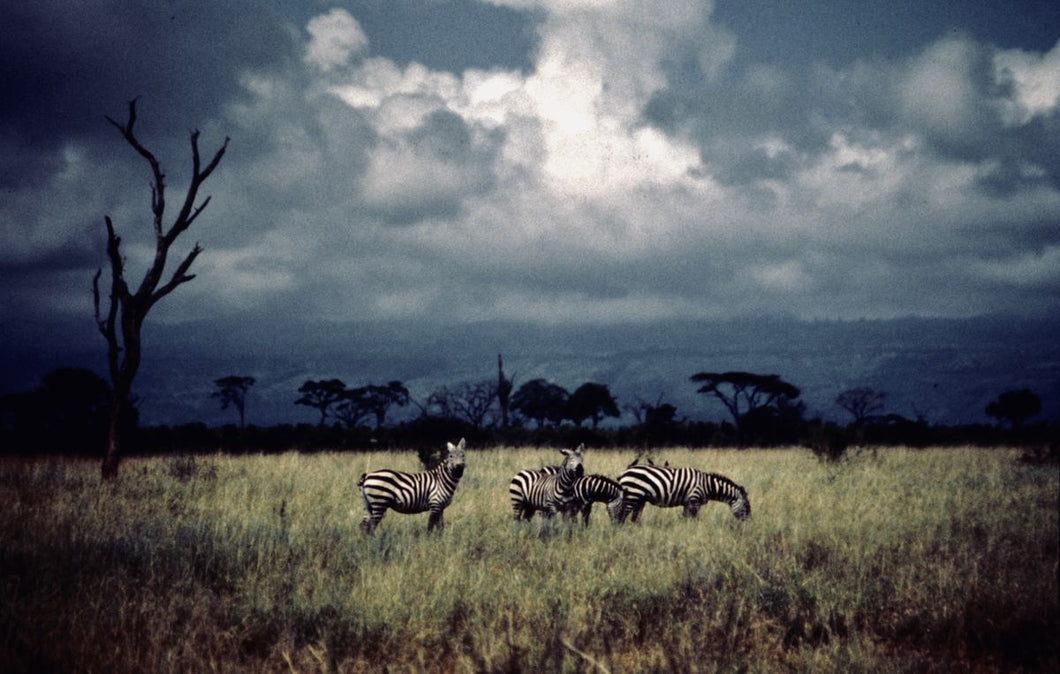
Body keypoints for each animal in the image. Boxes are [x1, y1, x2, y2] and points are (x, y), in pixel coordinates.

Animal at [619, 466, 750, 523]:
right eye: (746, 506)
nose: (748, 523)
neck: (708, 486)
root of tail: (624, 473)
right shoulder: (694, 500)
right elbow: (693, 519)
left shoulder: (687, 503)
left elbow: (685, 518)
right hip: (633, 494)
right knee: (622, 516)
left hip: (640, 498)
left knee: (634, 518)